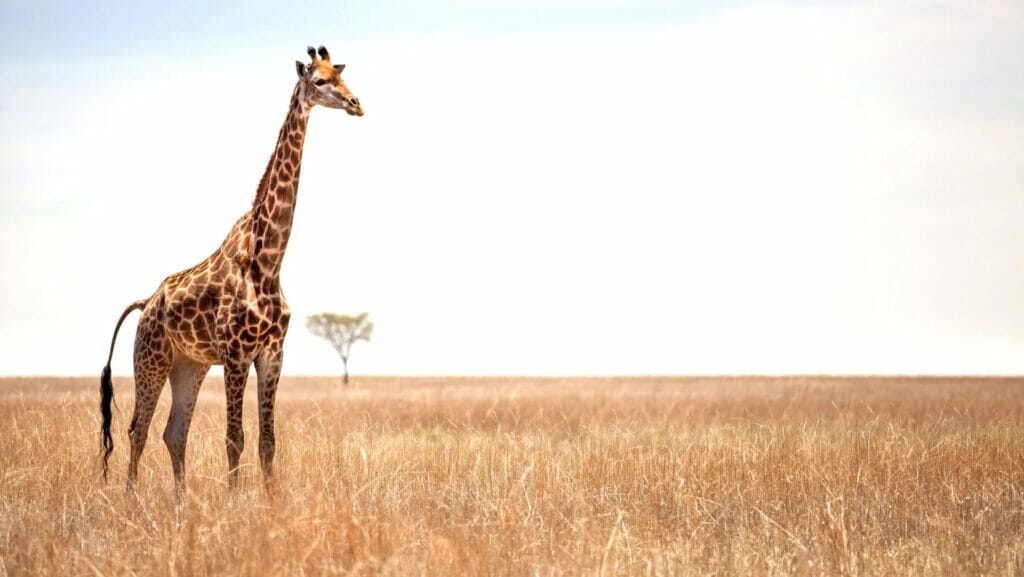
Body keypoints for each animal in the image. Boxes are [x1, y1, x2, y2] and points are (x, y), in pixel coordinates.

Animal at [99, 46, 363, 496]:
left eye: (342, 76)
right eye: (319, 81)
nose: (355, 103)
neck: (269, 261)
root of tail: (146, 302)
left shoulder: (272, 353)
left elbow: (268, 441)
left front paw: (271, 503)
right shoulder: (237, 354)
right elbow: (234, 438)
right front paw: (234, 502)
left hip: (190, 365)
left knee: (174, 432)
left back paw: (182, 503)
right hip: (151, 358)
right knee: (138, 429)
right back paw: (131, 500)